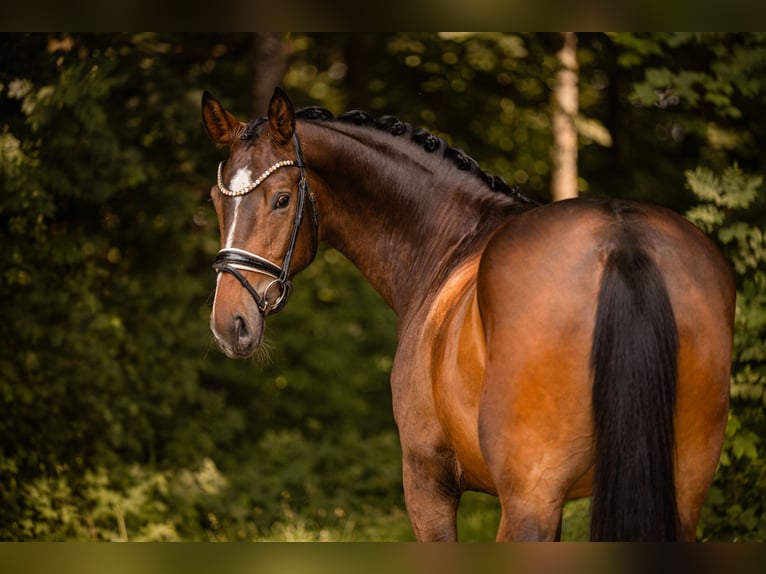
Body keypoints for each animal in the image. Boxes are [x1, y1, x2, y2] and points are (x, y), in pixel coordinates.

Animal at [201, 87, 735, 541]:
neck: (451, 241)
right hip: (682, 490)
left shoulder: (427, 481)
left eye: (282, 199)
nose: (230, 324)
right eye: (214, 202)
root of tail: (621, 239)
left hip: (529, 501)